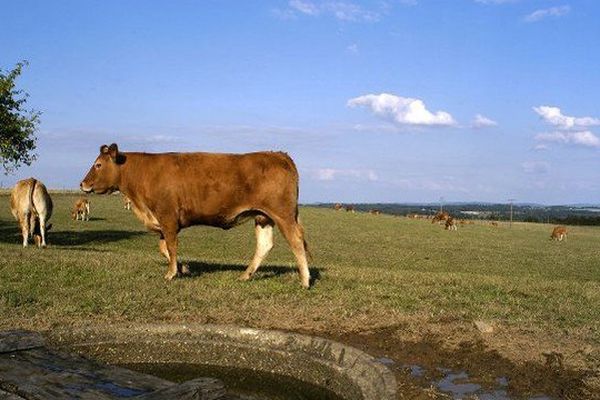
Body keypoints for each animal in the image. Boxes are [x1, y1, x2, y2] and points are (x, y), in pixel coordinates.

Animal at [80, 144, 312, 288]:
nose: (82, 184)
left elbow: (171, 246)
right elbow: (164, 248)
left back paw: (305, 280)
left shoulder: (167, 217)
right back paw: (245, 275)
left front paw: (171, 273)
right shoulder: (163, 222)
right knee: (264, 245)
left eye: (98, 164)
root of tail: (278, 154)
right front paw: (184, 268)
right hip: (263, 217)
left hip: (283, 214)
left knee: (296, 242)